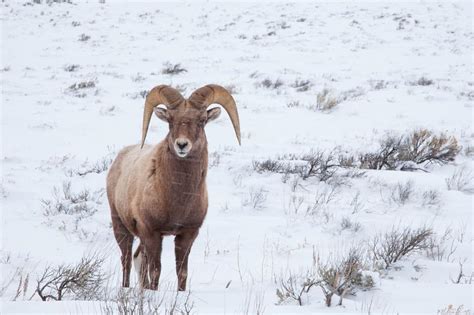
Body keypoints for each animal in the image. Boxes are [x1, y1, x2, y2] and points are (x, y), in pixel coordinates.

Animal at [107, 84, 241, 292]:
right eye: (170, 120)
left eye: (202, 121)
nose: (182, 145)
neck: (178, 199)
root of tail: (120, 157)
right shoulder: (152, 233)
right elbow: (155, 271)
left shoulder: (186, 235)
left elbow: (182, 273)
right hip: (120, 226)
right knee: (127, 260)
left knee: (138, 260)